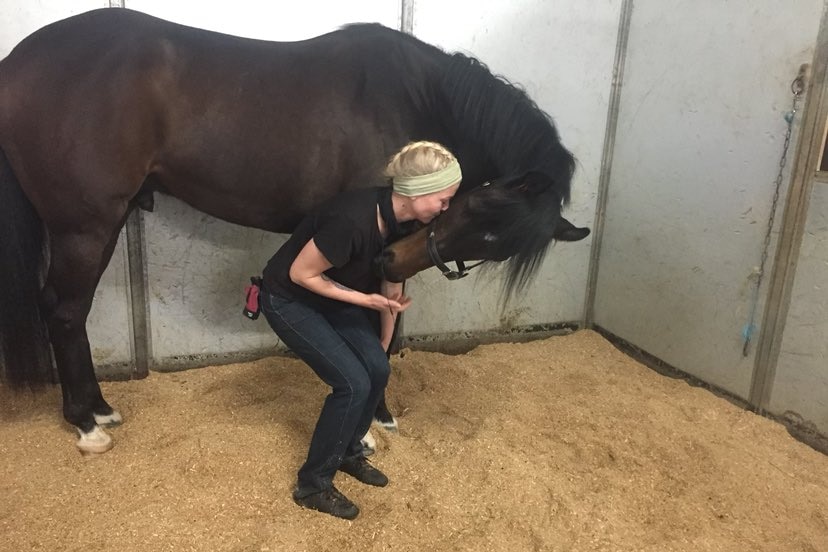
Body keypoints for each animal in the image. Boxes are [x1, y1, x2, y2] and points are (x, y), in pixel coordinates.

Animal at [0, 8, 588, 454]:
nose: (397, 259)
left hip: (106, 221)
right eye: (477, 205)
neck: (416, 97)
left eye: (496, 246)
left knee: (66, 312)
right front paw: (372, 423)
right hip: (84, 225)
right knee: (65, 311)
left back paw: (99, 408)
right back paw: (86, 425)